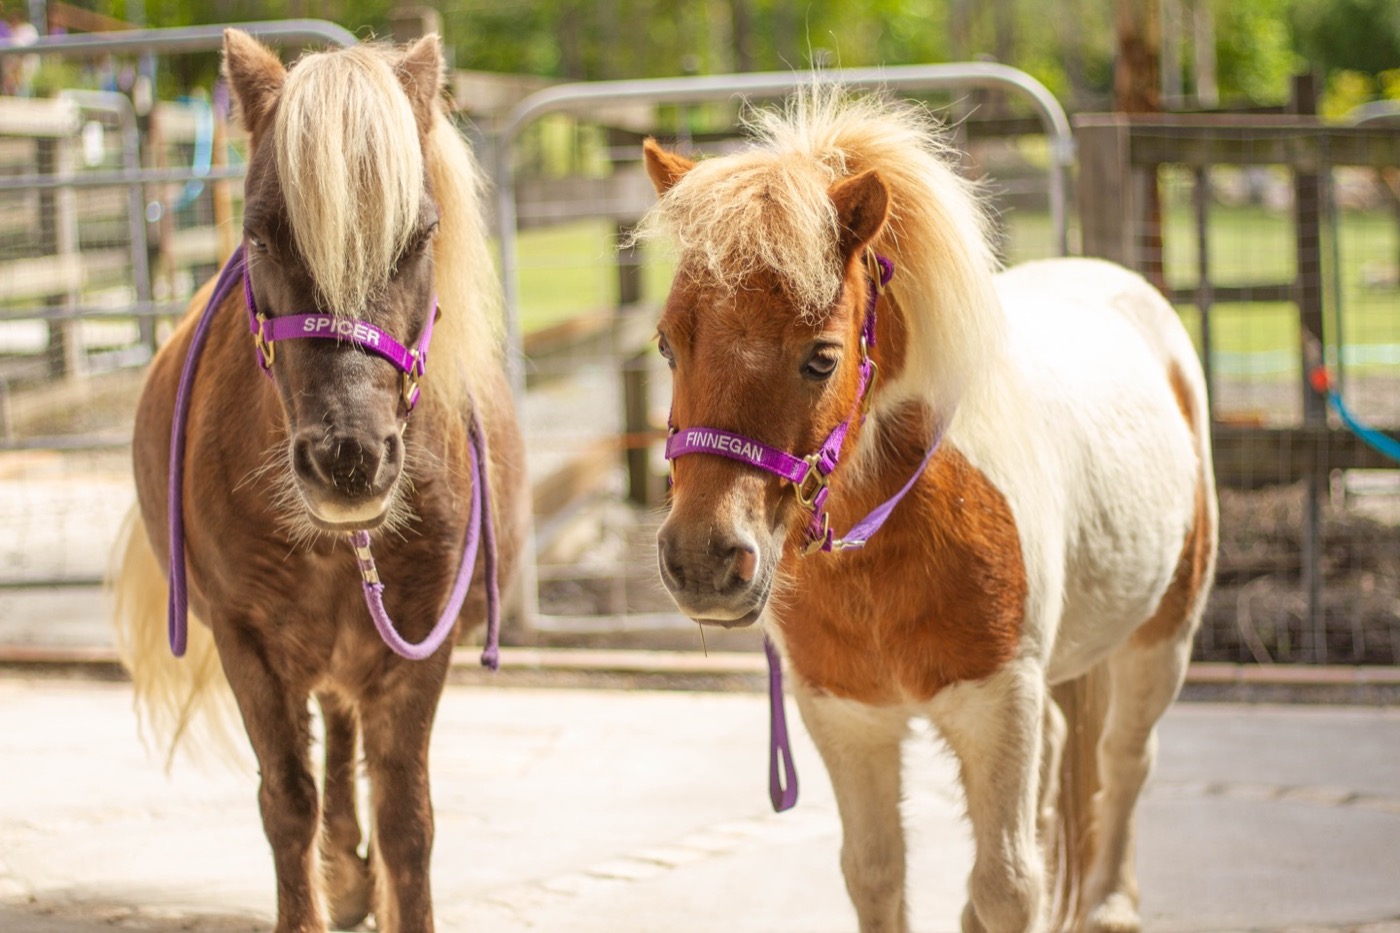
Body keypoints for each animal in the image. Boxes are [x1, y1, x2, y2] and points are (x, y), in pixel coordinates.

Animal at [112, 29, 526, 930]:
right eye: (262, 236)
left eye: (420, 235)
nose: (350, 458)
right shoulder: (248, 643)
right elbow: (287, 803)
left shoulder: (421, 643)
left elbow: (407, 816)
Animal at [635, 83, 1215, 924]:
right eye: (666, 344)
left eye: (822, 357)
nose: (704, 561)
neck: (887, 545)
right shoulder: (847, 718)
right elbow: (877, 872)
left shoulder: (999, 703)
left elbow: (1008, 885)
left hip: (1162, 636)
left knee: (1125, 756)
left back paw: (1111, 902)